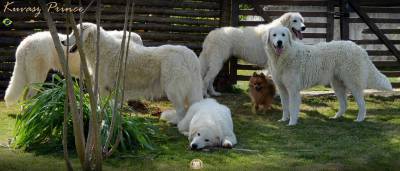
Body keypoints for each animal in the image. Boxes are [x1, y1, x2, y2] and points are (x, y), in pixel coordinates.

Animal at [63, 22, 205, 124]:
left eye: (74, 33)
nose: (63, 42)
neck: (99, 48)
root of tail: (190, 55)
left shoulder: (104, 87)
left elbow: (102, 105)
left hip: (173, 89)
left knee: (181, 110)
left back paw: (176, 123)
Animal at [264, 26, 392, 125]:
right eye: (274, 35)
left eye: (283, 35)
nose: (279, 42)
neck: (284, 55)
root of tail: (359, 48)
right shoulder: (282, 89)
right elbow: (285, 107)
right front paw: (284, 119)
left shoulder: (293, 89)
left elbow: (292, 107)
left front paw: (292, 123)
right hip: (337, 85)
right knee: (344, 104)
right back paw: (336, 117)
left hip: (353, 83)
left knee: (362, 104)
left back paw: (359, 119)